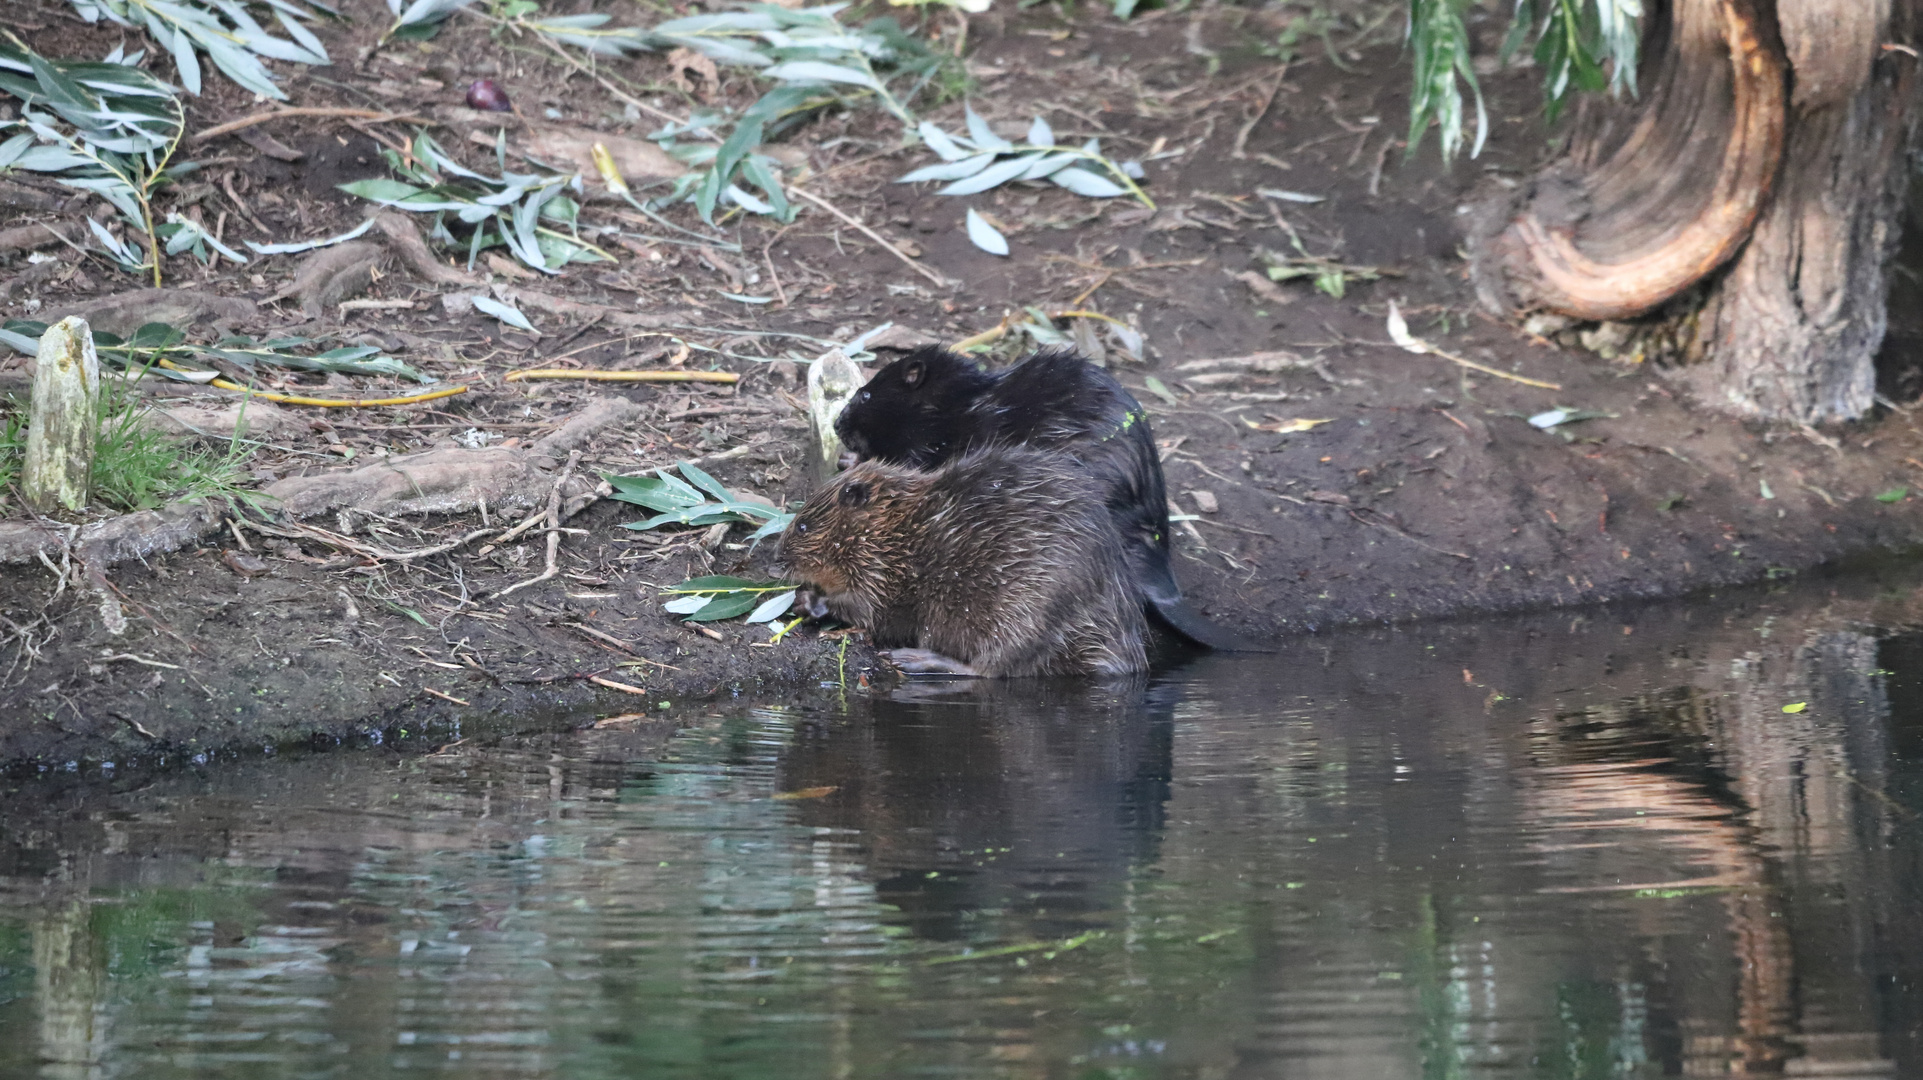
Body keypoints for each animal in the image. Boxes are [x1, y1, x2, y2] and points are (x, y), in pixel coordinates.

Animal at [776, 443, 1146, 676]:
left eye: (803, 525)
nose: (775, 560)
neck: (899, 528)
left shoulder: (882, 572)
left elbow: (868, 611)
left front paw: (807, 600)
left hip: (1027, 609)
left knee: (994, 668)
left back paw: (915, 660)